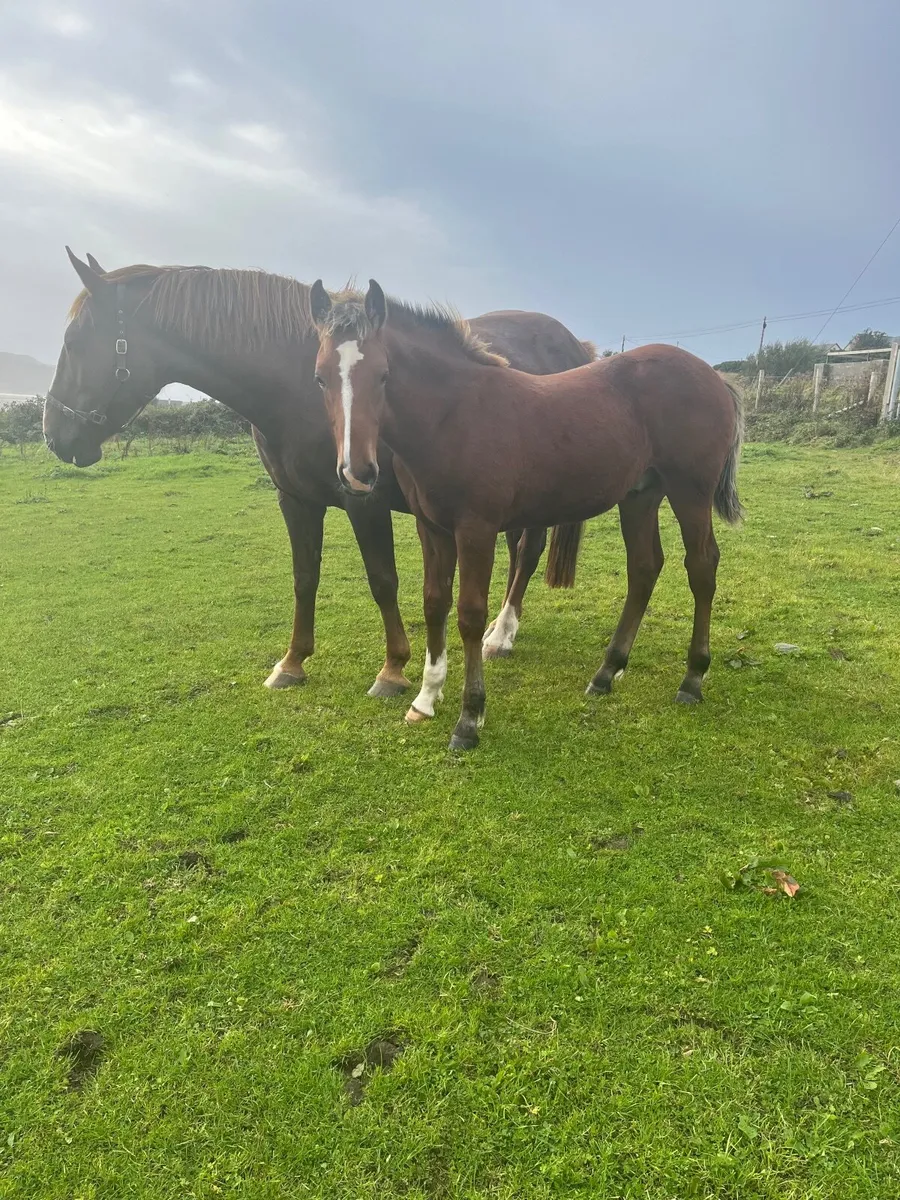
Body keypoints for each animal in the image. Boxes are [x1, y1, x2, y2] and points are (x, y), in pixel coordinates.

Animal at [42, 250, 595, 696]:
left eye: (74, 341)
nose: (53, 435)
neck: (297, 386)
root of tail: (575, 345)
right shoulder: (295, 499)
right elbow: (304, 576)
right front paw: (292, 663)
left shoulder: (362, 498)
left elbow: (382, 579)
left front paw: (393, 670)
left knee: (527, 551)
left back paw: (501, 634)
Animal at [309, 279, 743, 751]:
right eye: (320, 377)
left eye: (384, 375)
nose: (357, 473)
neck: (454, 416)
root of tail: (714, 376)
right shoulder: (432, 528)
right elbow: (434, 604)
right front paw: (425, 699)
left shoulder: (476, 529)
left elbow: (470, 615)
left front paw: (469, 719)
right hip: (641, 495)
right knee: (644, 568)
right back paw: (606, 673)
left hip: (690, 492)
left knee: (701, 566)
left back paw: (692, 679)